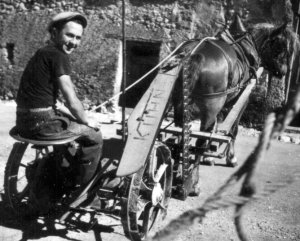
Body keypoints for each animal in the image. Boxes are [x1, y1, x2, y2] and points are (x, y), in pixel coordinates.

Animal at [172, 15, 298, 171]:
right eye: (281, 47)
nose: (284, 71)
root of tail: (194, 54)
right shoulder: (241, 101)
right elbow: (233, 130)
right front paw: (231, 158)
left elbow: (216, 127)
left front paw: (209, 157)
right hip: (211, 107)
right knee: (199, 140)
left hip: (179, 101)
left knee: (178, 135)